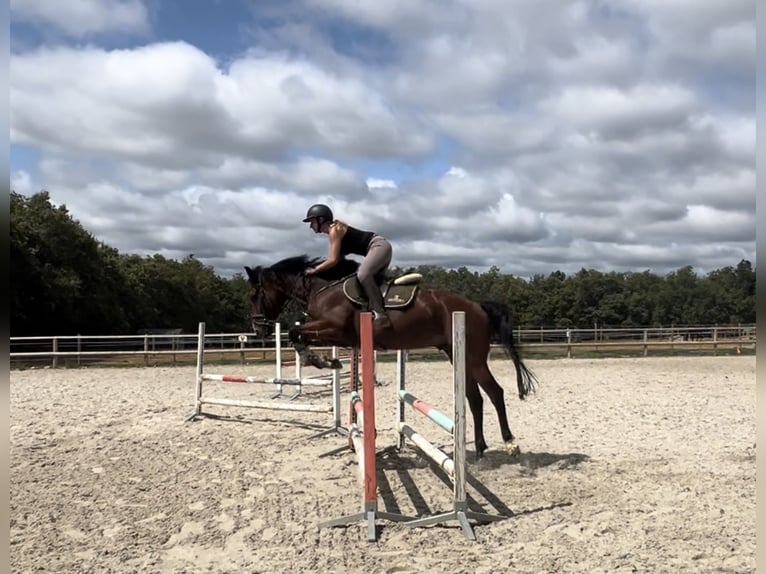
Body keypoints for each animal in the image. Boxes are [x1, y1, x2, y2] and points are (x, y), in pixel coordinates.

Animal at [246, 256, 540, 460]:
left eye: (255, 294)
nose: (258, 329)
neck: (322, 288)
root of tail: (477, 306)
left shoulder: (334, 329)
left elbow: (295, 333)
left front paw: (321, 361)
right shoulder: (337, 335)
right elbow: (298, 336)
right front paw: (325, 361)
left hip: (474, 358)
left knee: (495, 392)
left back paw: (510, 443)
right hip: (457, 356)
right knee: (475, 398)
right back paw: (479, 449)